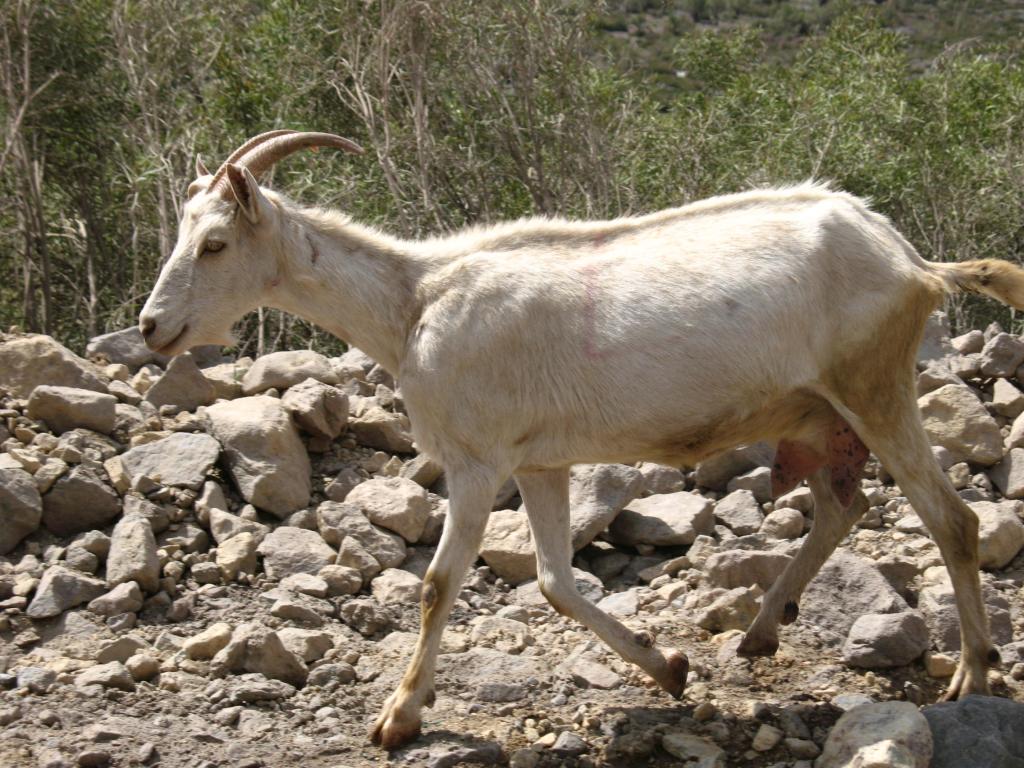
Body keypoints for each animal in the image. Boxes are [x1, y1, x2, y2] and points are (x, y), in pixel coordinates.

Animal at [138, 132, 1024, 753]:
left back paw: (971, 676)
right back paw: (761, 629)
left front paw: (398, 718)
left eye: (215, 243)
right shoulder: (539, 462)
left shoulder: (477, 461)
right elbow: (556, 582)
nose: (151, 326)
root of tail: (915, 263)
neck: (415, 302)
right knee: (845, 506)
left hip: (874, 387)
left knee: (952, 521)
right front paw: (669, 667)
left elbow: (437, 586)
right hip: (819, 415)